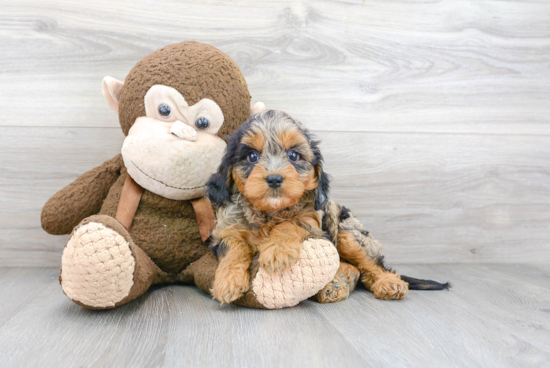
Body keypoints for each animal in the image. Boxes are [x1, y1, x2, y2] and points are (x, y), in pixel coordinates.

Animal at [207, 110, 448, 304]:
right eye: (251, 156)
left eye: (293, 155)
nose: (274, 179)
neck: (269, 212)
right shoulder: (225, 230)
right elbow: (234, 247)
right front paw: (228, 282)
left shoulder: (314, 226)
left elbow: (291, 224)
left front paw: (277, 251)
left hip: (348, 234)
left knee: (370, 265)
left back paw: (387, 282)